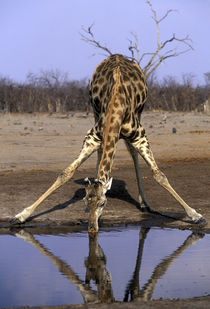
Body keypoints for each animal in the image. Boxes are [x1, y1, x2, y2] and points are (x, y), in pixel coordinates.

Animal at [10, 53, 205, 231]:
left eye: (103, 203)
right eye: (85, 201)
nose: (92, 228)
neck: (117, 103)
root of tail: (118, 55)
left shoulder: (140, 135)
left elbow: (159, 175)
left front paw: (196, 215)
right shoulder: (93, 136)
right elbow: (65, 173)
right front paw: (20, 216)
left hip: (140, 114)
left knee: (133, 153)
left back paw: (144, 203)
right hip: (94, 110)